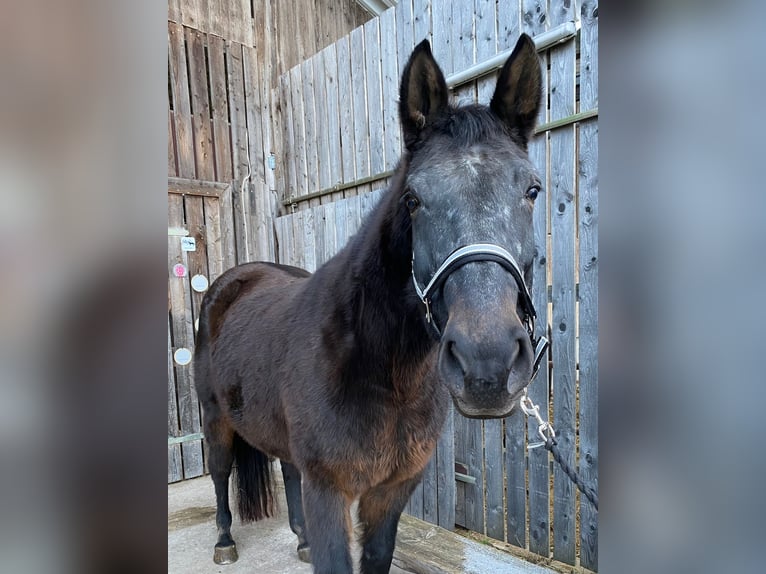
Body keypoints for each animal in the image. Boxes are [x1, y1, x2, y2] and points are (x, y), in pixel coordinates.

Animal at [195, 35, 548, 574]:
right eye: (413, 199)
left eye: (532, 189)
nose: (486, 366)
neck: (382, 371)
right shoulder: (330, 491)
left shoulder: (392, 491)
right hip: (216, 421)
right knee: (218, 475)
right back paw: (223, 542)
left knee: (287, 471)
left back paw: (298, 539)